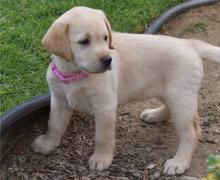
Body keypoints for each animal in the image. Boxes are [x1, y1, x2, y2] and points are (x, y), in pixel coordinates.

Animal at [31, 6, 220, 175]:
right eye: (84, 41)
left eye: (105, 38)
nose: (108, 60)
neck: (75, 73)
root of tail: (190, 43)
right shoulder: (59, 100)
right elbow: (54, 124)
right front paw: (46, 144)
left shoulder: (104, 107)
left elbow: (103, 137)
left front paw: (101, 159)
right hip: (169, 92)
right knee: (172, 111)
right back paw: (154, 115)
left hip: (180, 96)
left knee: (191, 131)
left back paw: (179, 163)